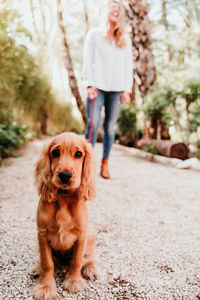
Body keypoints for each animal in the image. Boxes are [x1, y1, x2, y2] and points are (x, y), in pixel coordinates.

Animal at [32, 132, 98, 300]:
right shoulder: (42, 234)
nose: (65, 175)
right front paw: (45, 287)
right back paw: (37, 268)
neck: (63, 198)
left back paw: (91, 269)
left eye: (79, 154)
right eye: (55, 152)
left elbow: (76, 260)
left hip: (91, 236)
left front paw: (73, 281)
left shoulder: (82, 235)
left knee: (89, 257)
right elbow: (47, 263)